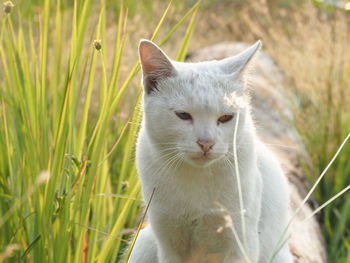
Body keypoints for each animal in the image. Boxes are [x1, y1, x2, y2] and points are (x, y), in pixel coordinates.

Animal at [129, 39, 292, 263]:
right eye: (183, 115)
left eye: (225, 118)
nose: (206, 142)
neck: (196, 179)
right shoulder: (169, 243)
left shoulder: (240, 244)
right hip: (144, 243)